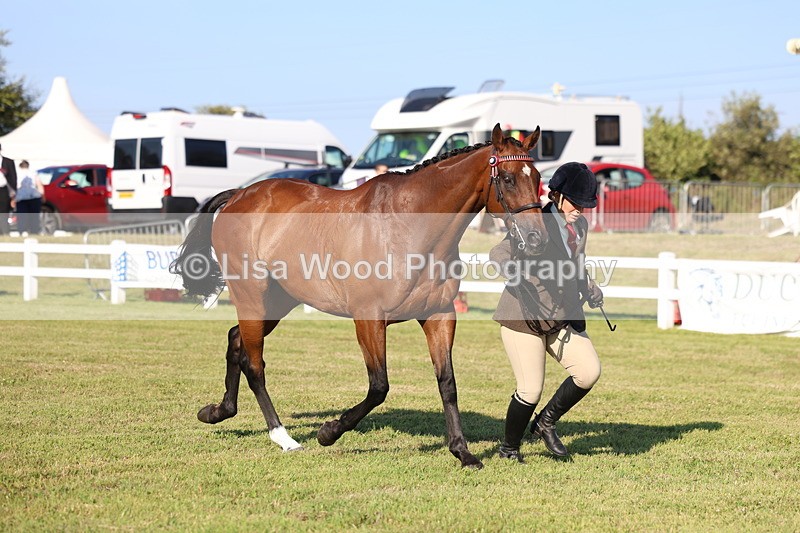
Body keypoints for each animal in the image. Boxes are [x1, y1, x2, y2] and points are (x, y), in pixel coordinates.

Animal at [171, 124, 547, 469]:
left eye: (539, 178)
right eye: (509, 179)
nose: (536, 238)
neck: (407, 228)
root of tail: (240, 194)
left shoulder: (439, 315)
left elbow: (447, 383)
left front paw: (462, 452)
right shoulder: (369, 318)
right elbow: (379, 386)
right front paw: (329, 432)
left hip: (278, 301)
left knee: (236, 341)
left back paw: (218, 411)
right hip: (252, 296)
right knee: (254, 363)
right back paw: (283, 437)